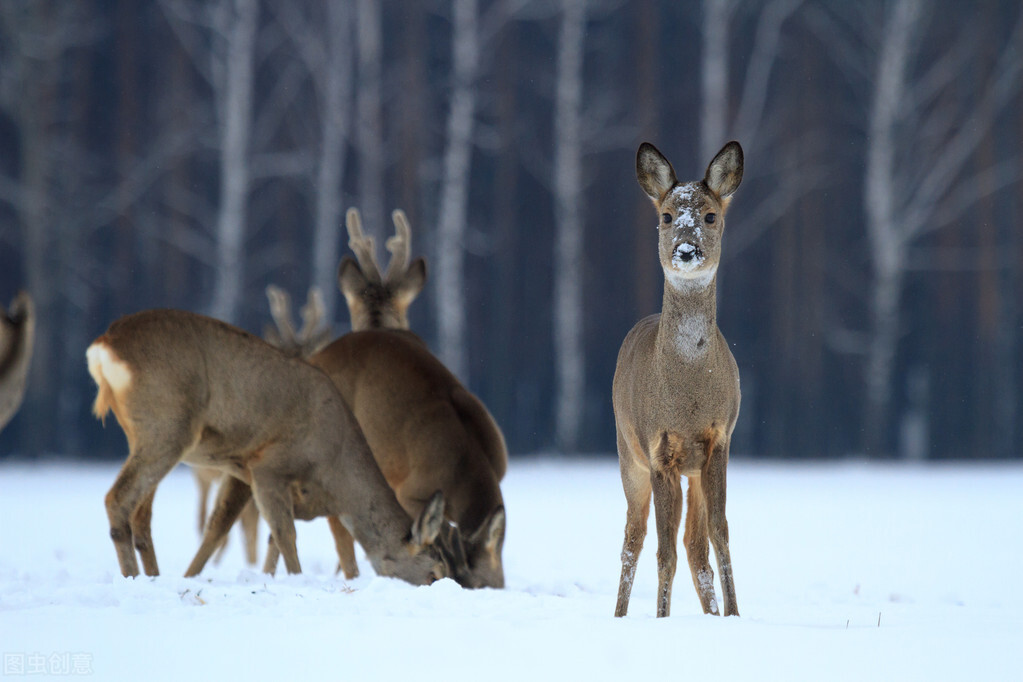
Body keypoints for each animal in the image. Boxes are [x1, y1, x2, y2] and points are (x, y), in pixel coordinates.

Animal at [86, 308, 456, 588]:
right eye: (434, 572)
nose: (445, 585)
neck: (334, 470)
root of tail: (104, 345)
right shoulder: (268, 466)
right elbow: (284, 535)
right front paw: (296, 581)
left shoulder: (245, 472)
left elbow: (227, 530)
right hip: (168, 426)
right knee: (118, 498)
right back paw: (132, 578)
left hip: (144, 435)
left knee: (142, 516)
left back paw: (152, 577)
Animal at [609, 141, 748, 621]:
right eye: (667, 216)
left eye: (710, 215)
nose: (686, 251)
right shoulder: (658, 449)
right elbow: (662, 549)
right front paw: (661, 618)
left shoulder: (719, 440)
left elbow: (720, 534)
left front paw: (734, 615)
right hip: (627, 454)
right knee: (633, 538)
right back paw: (619, 615)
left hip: (692, 469)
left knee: (694, 544)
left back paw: (711, 613)